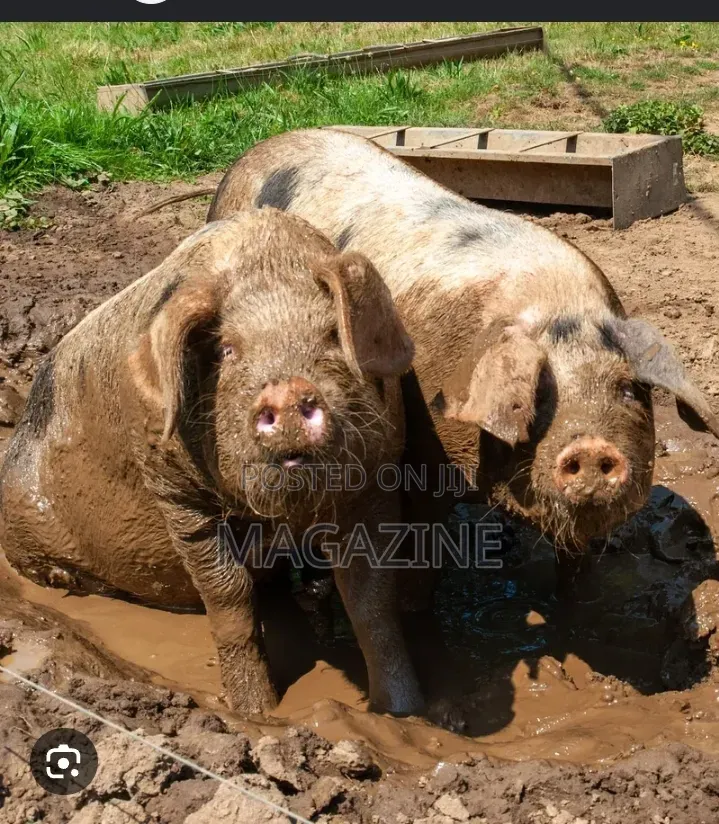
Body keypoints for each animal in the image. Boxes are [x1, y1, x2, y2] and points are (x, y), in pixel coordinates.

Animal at [0, 208, 425, 717]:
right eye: (227, 350)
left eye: (330, 336)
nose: (286, 391)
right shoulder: (174, 491)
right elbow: (228, 597)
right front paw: (256, 714)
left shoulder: (379, 476)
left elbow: (371, 600)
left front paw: (403, 713)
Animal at [206, 128, 719, 594]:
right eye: (539, 395)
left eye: (628, 389)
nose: (591, 447)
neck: (557, 306)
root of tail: (253, 152)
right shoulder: (421, 449)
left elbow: (573, 560)